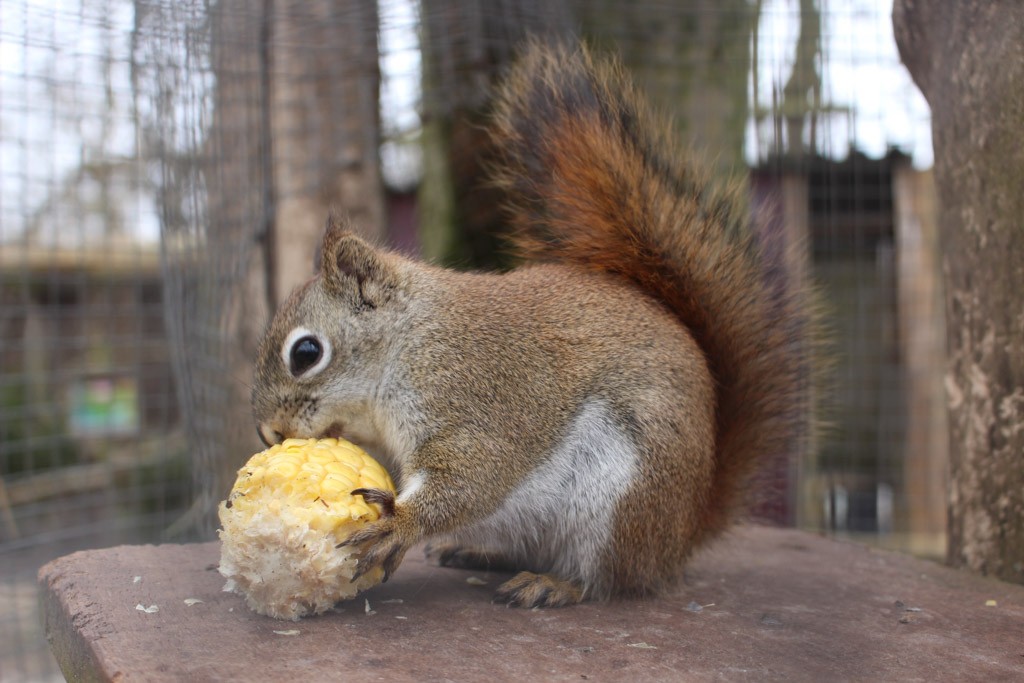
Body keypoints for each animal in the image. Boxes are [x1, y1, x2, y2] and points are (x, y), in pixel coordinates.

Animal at [251, 42, 811, 610]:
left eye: (305, 353)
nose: (268, 432)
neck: (409, 343)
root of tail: (683, 534)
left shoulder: (474, 398)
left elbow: (475, 475)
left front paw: (400, 525)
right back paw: (479, 553)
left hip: (621, 496)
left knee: (606, 578)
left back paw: (556, 585)